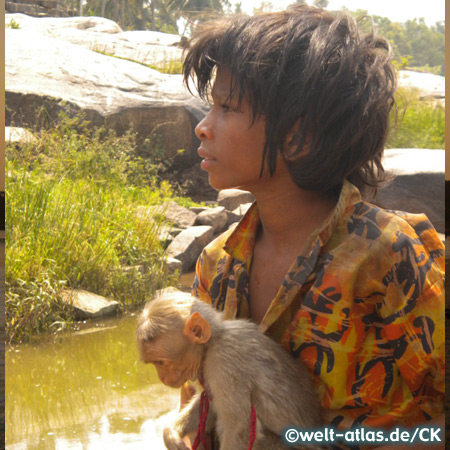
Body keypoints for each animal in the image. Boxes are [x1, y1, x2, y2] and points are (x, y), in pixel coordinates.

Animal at [135, 292, 322, 450]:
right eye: (154, 363)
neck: (211, 344)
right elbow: (209, 405)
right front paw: (171, 432)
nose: (162, 377)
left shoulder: (223, 363)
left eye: (160, 362)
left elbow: (239, 426)